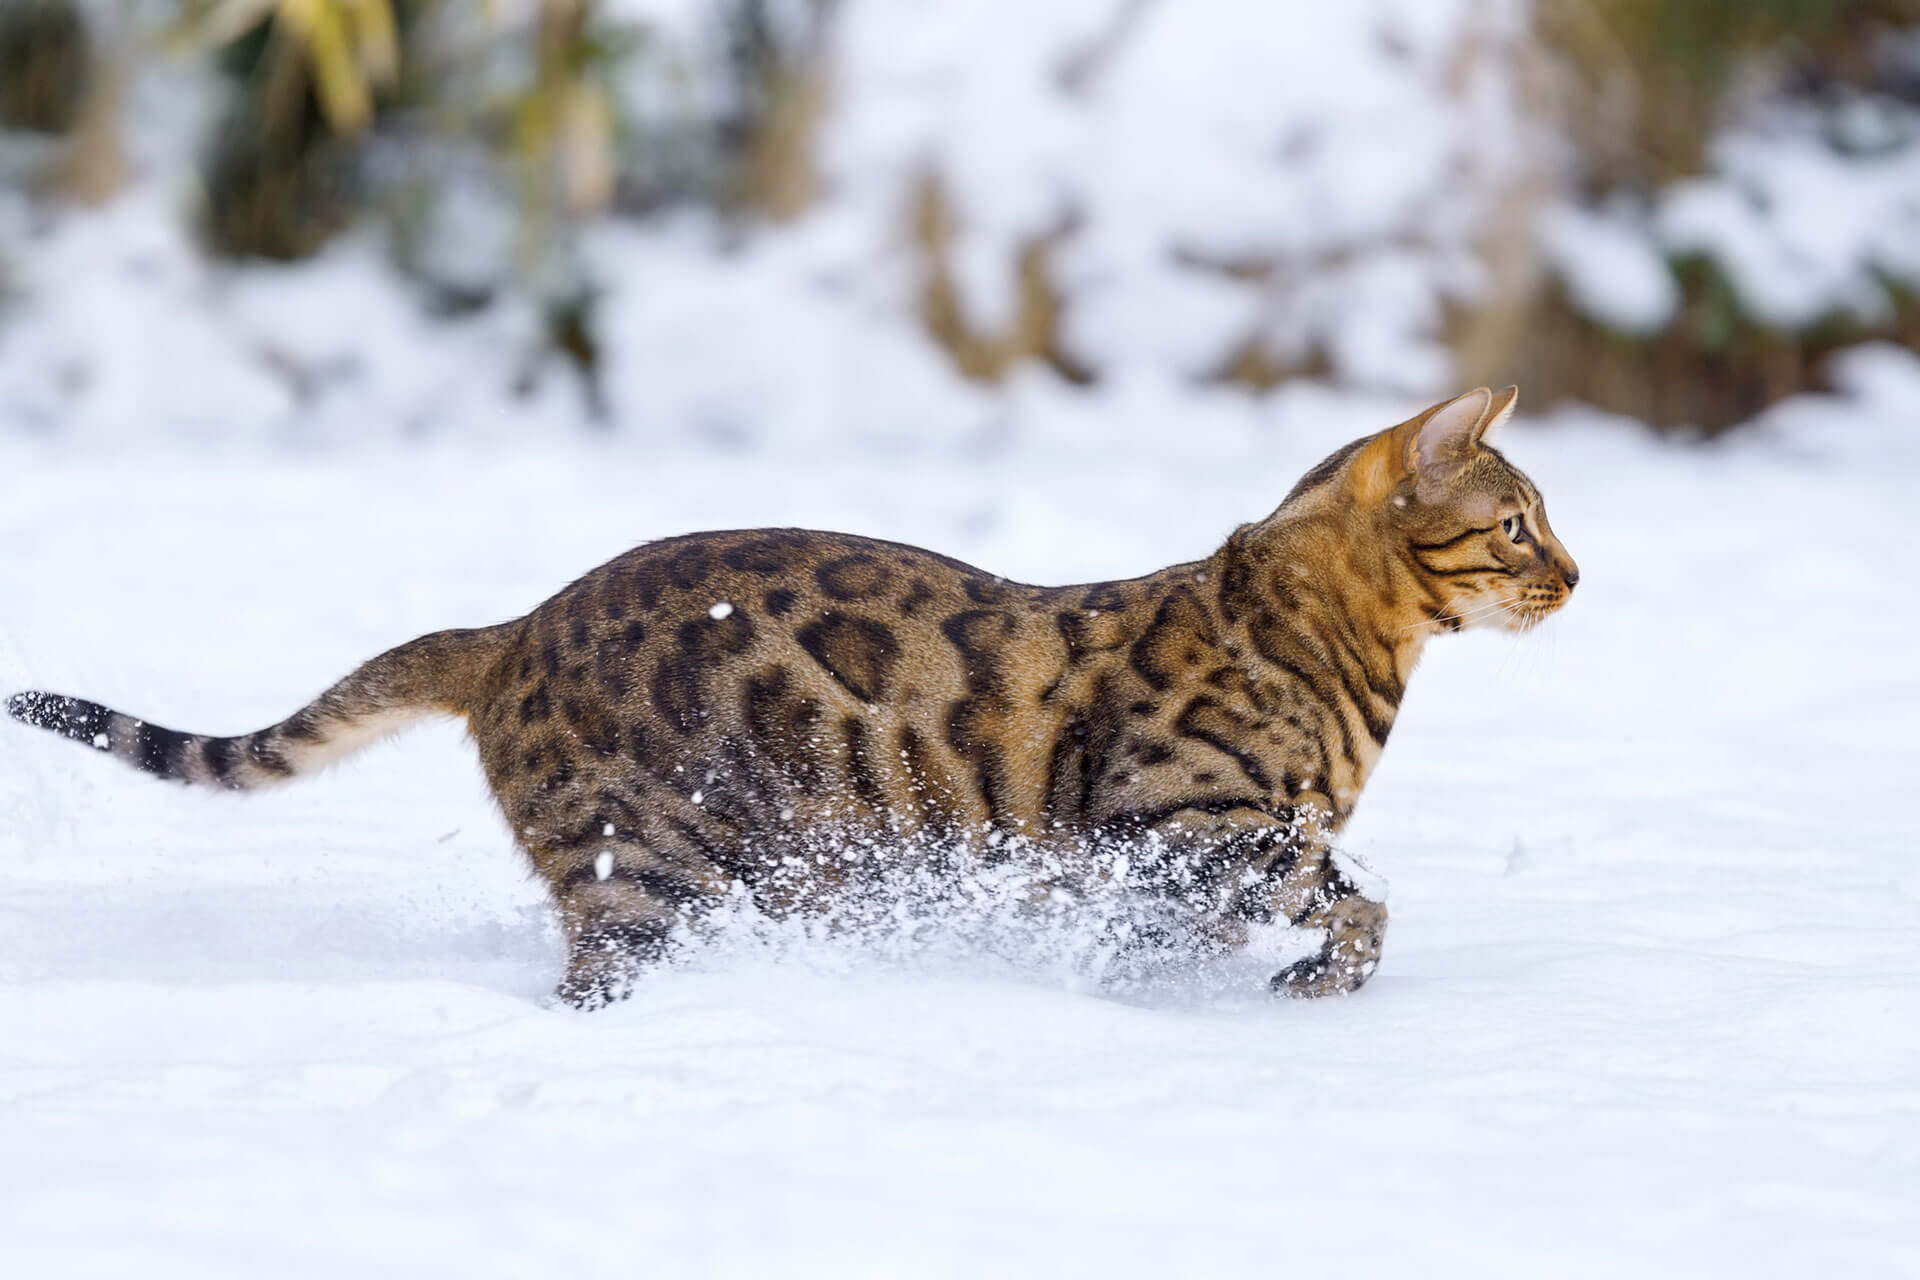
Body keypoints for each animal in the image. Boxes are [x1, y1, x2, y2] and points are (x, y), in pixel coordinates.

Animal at [11, 385, 1574, 1005]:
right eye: (1514, 525)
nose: (1575, 574)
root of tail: (513, 630)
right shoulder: (1181, 825)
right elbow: (1354, 905)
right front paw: (1311, 982)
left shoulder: (1189, 867)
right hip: (646, 869)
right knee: (591, 981)